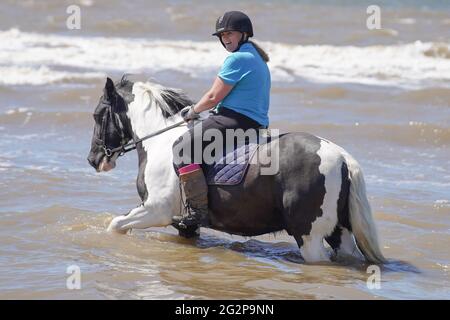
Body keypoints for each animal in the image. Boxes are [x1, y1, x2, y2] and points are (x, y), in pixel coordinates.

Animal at [88, 76, 386, 264]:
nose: (93, 159)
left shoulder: (156, 210)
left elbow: (115, 225)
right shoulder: (185, 224)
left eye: (97, 114)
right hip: (339, 231)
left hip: (309, 236)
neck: (159, 141)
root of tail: (341, 156)